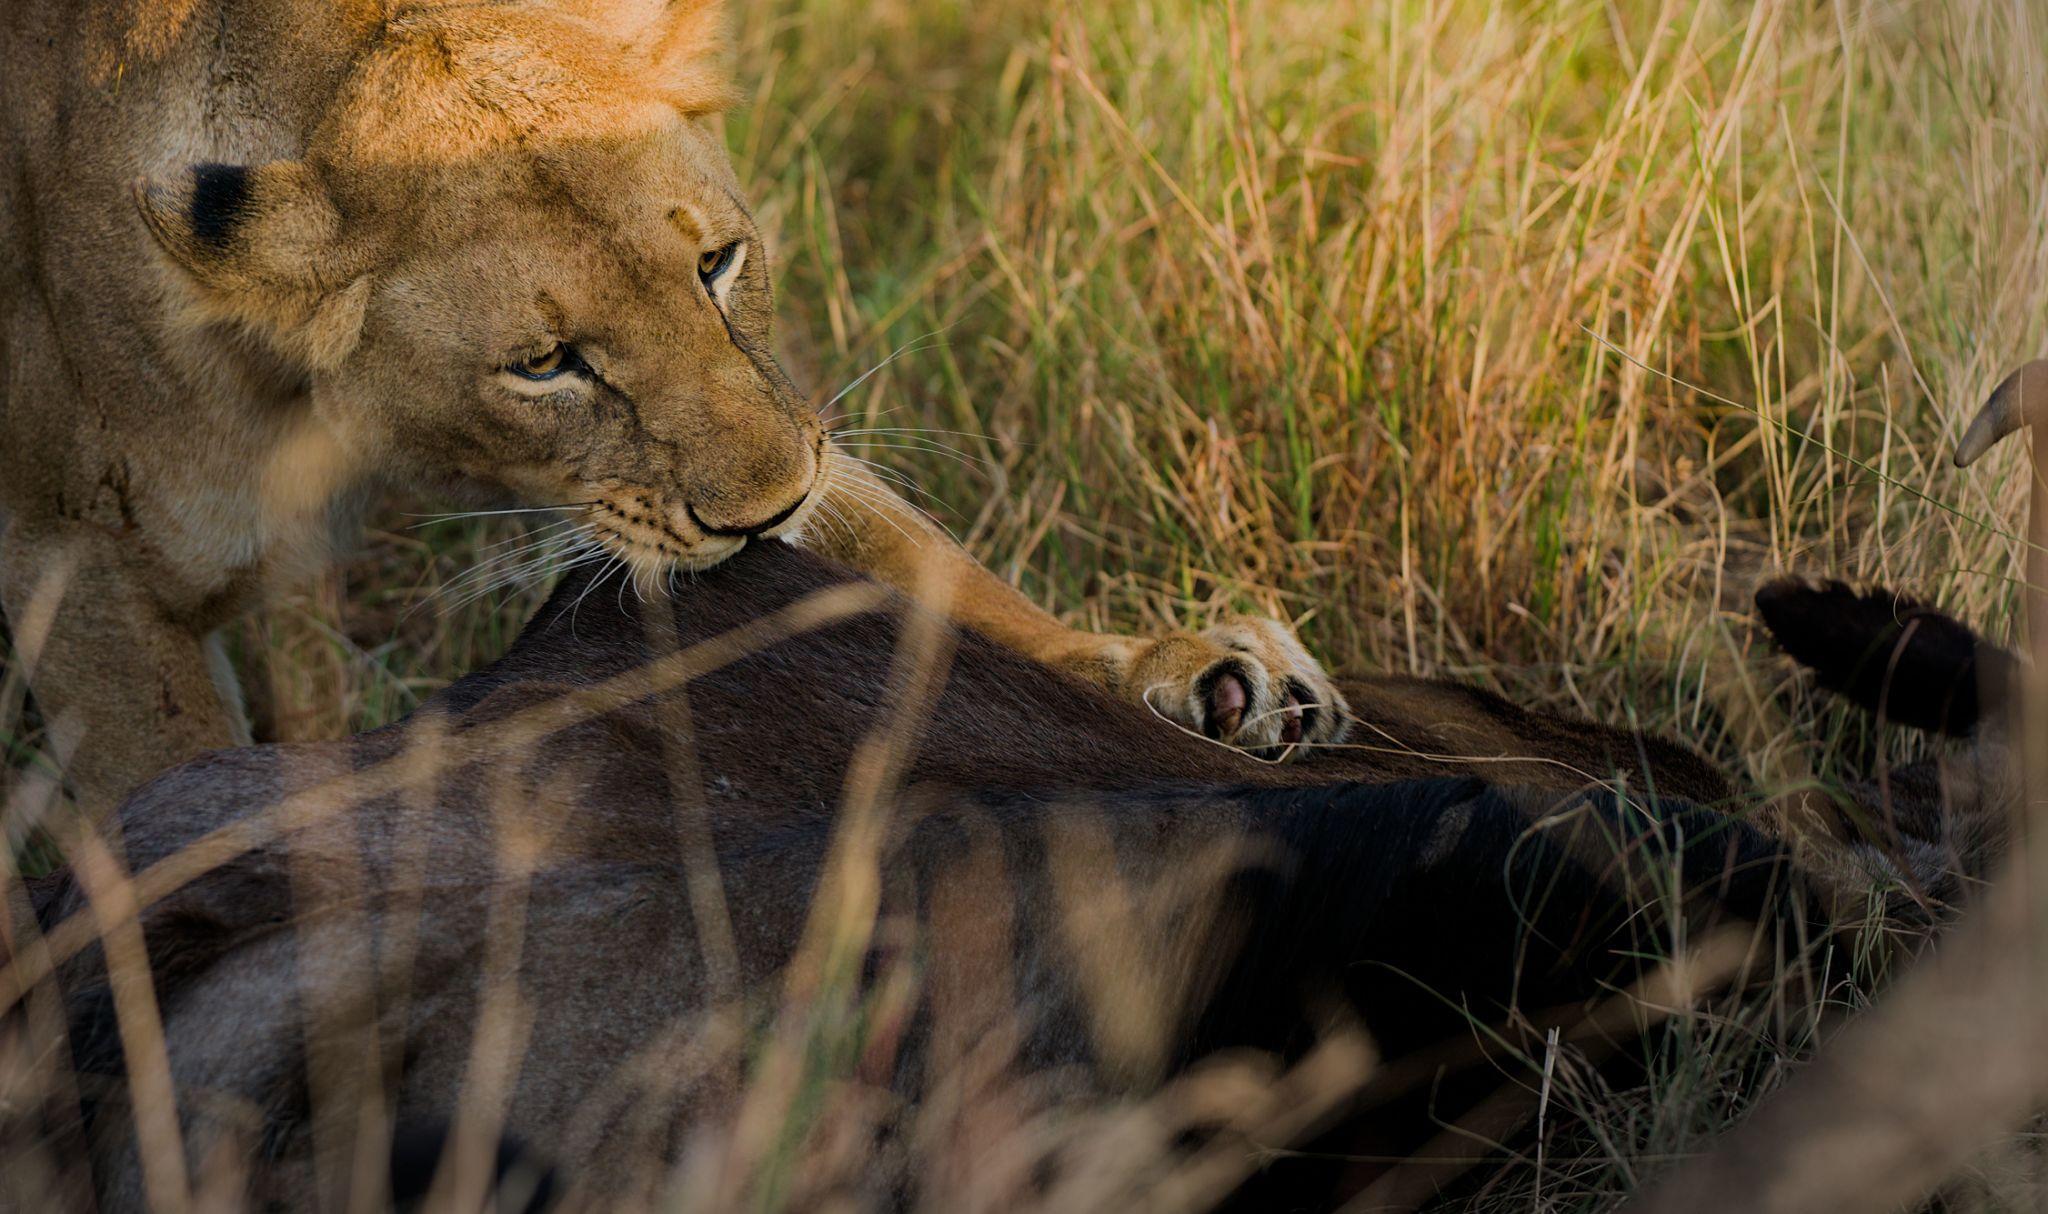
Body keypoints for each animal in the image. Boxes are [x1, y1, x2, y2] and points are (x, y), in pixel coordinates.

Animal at [0, 0, 1348, 814]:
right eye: (547, 362)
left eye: (718, 265)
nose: (763, 512)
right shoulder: (76, 563)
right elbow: (167, 782)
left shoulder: (781, 425)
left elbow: (938, 572)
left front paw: (1196, 671)